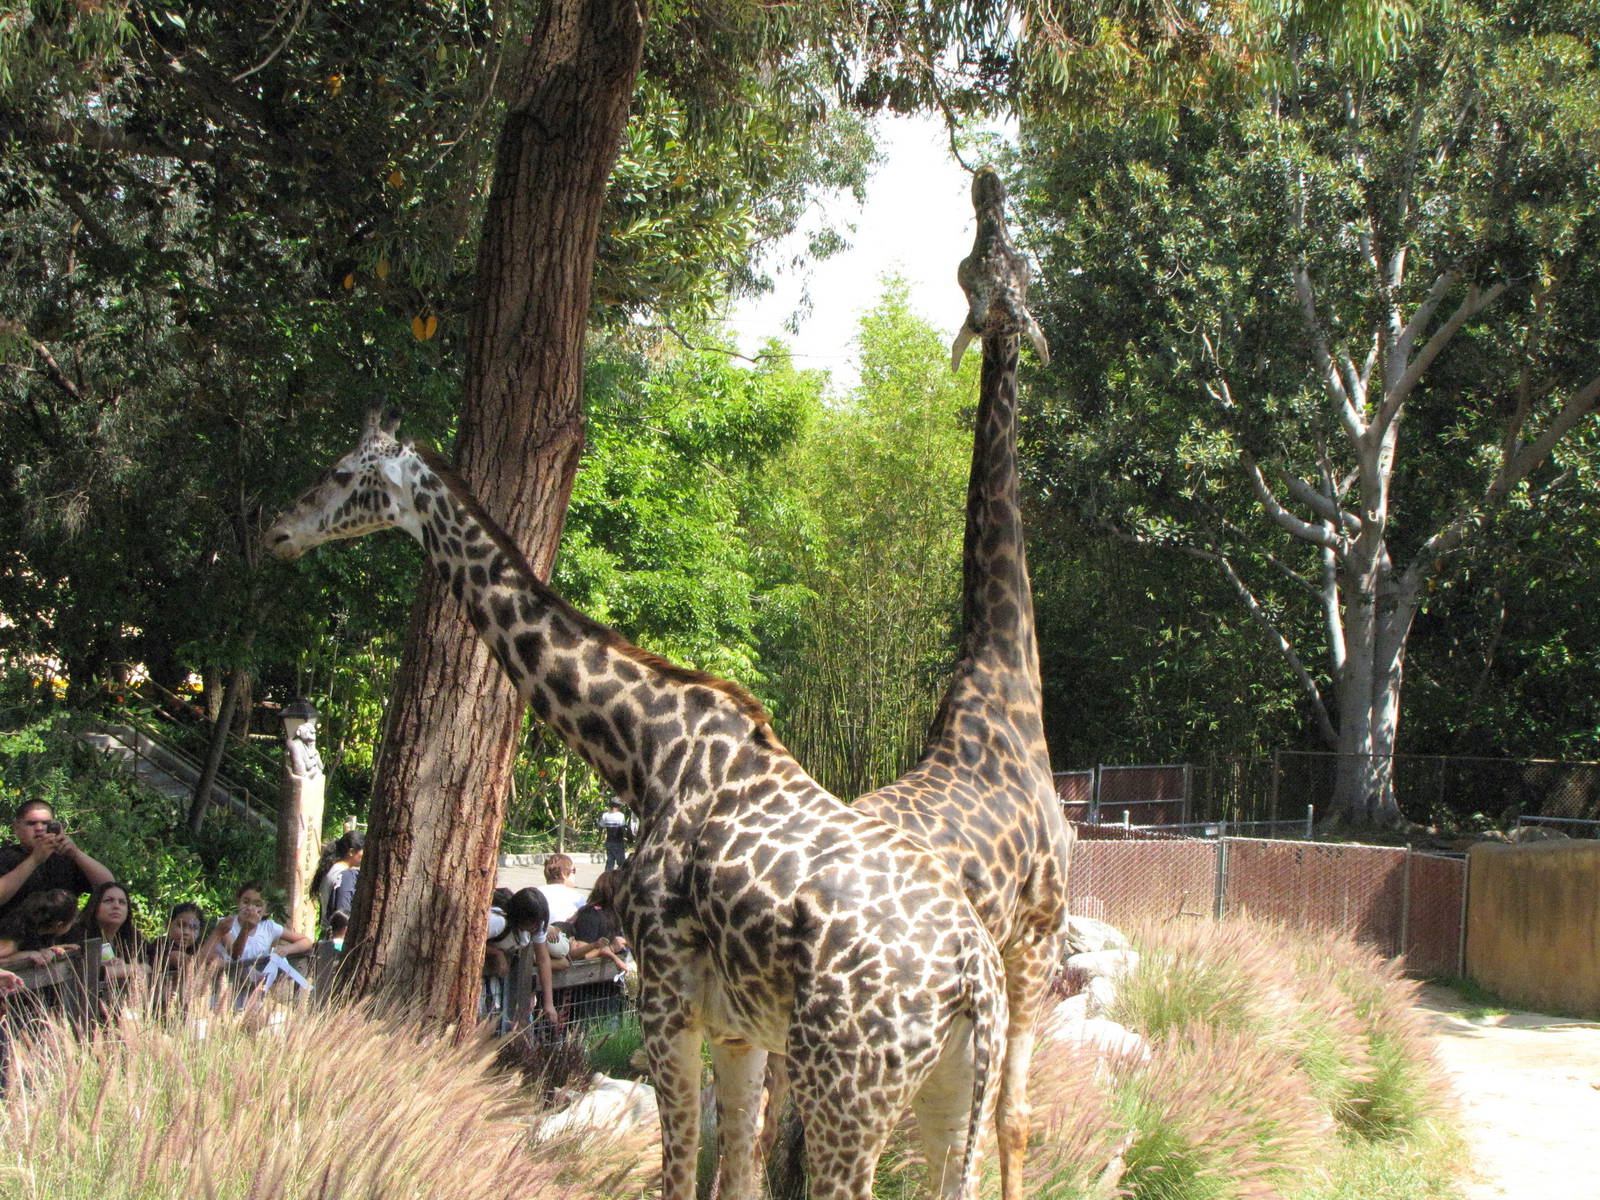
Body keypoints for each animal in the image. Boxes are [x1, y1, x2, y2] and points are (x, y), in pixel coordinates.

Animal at [264, 410, 1007, 1200]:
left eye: (343, 473)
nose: (279, 532)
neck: (645, 753)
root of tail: (974, 973)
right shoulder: (738, 1027)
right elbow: (737, 1172)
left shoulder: (664, 1002)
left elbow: (679, 1172)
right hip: (953, 1091)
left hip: (846, 1090)